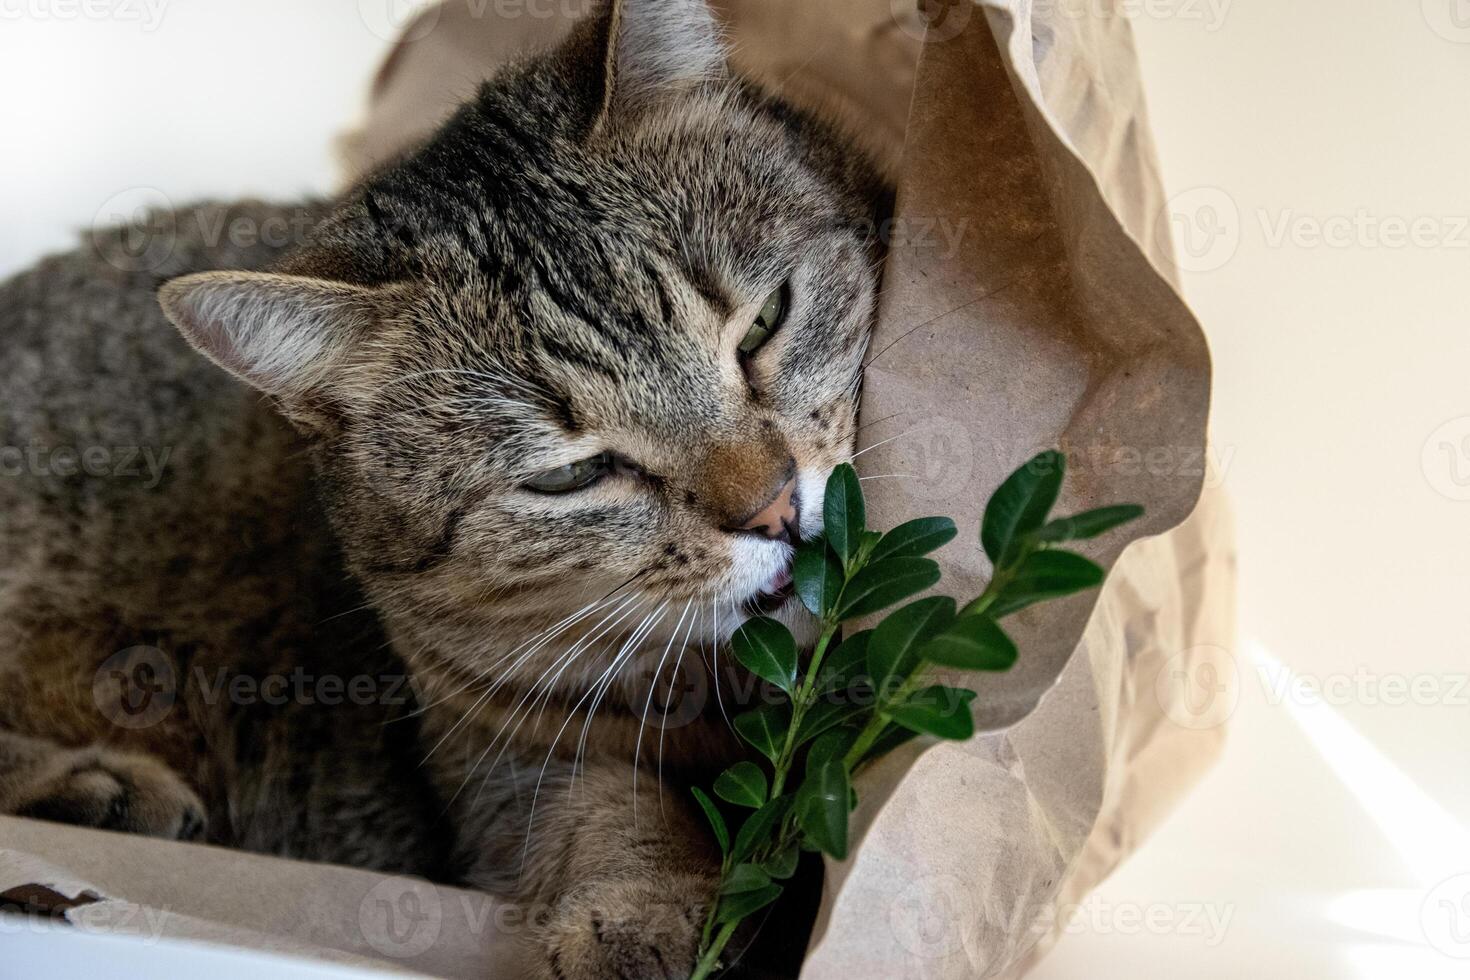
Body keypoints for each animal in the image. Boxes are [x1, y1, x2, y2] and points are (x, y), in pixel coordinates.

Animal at [0, 1, 882, 975]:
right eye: (569, 475)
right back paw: (93, 785)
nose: (775, 507)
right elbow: (607, 804)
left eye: (763, 324)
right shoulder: (489, 760)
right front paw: (644, 910)